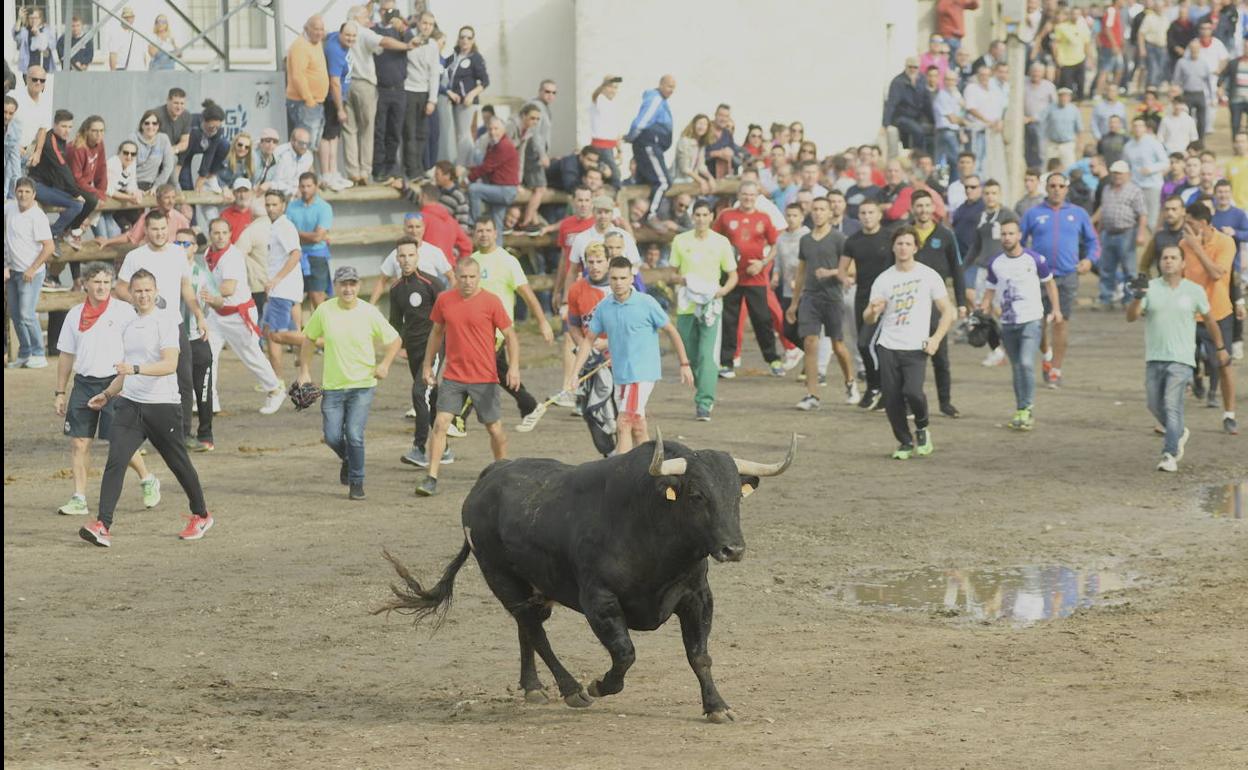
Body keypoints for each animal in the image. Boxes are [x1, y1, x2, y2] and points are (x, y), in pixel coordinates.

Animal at [374, 429, 793, 723]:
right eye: (697, 496)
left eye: (736, 497)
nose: (732, 549)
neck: (649, 522)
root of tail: (491, 475)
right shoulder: (599, 602)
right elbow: (625, 654)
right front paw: (599, 685)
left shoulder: (697, 597)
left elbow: (700, 655)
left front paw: (717, 706)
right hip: (501, 578)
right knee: (535, 631)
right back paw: (572, 689)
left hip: (533, 587)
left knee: (526, 628)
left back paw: (533, 687)